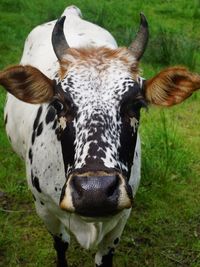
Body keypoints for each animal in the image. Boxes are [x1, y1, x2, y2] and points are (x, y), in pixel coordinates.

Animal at [0, 4, 200, 267]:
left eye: (136, 104)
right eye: (59, 104)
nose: (94, 192)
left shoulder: (121, 218)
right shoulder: (44, 208)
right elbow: (60, 245)